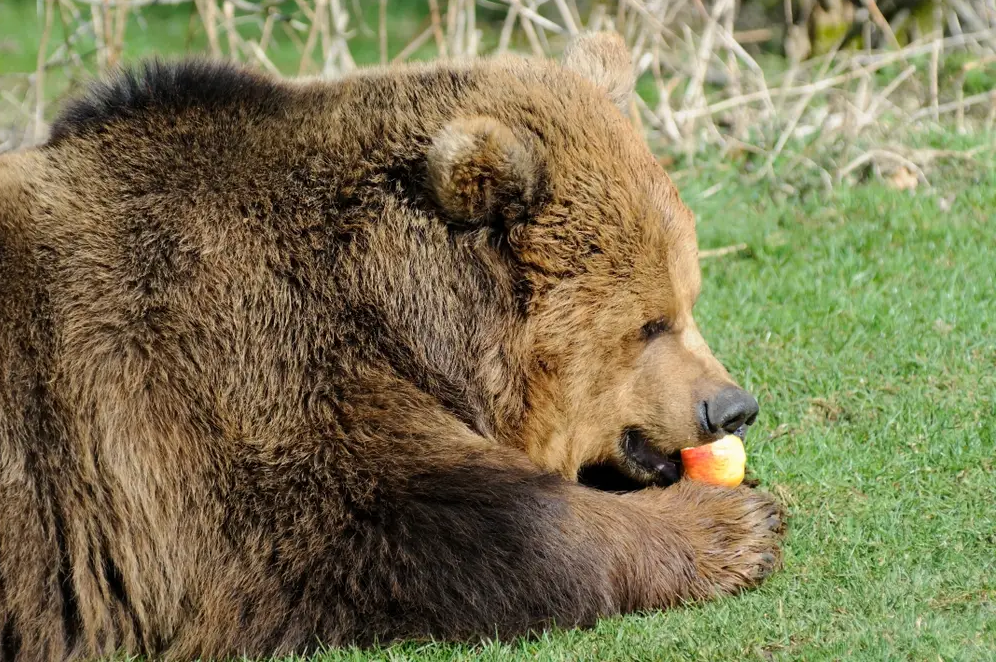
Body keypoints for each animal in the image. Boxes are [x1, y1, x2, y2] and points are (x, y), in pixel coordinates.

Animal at [0, 32, 780, 662]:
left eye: (688, 297)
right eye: (649, 323)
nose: (732, 406)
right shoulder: (228, 379)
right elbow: (422, 525)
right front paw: (735, 525)